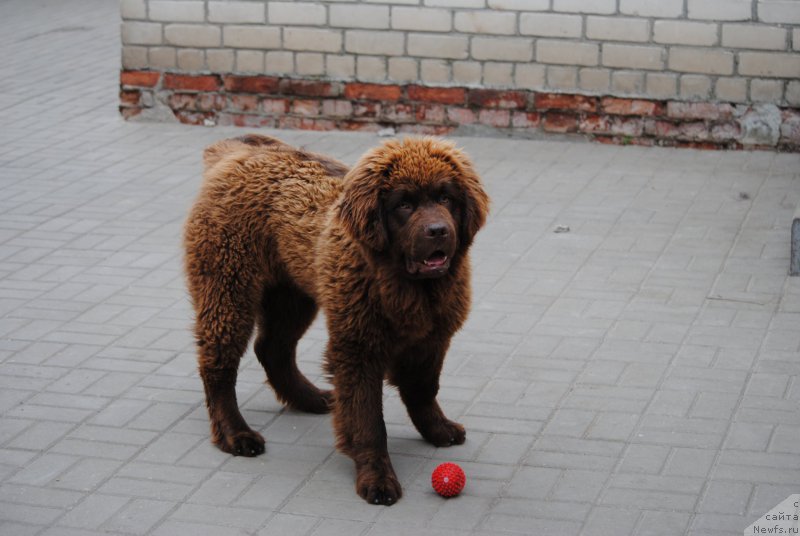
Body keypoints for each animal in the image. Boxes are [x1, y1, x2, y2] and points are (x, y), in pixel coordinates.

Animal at [184, 133, 490, 502]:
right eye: (403, 204)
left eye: (446, 197)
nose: (438, 230)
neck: (404, 285)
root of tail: (236, 152)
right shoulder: (357, 347)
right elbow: (367, 418)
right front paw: (377, 478)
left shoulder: (432, 338)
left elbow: (423, 389)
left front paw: (437, 429)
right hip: (228, 286)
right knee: (218, 363)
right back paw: (235, 433)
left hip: (292, 294)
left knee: (272, 349)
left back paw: (309, 398)